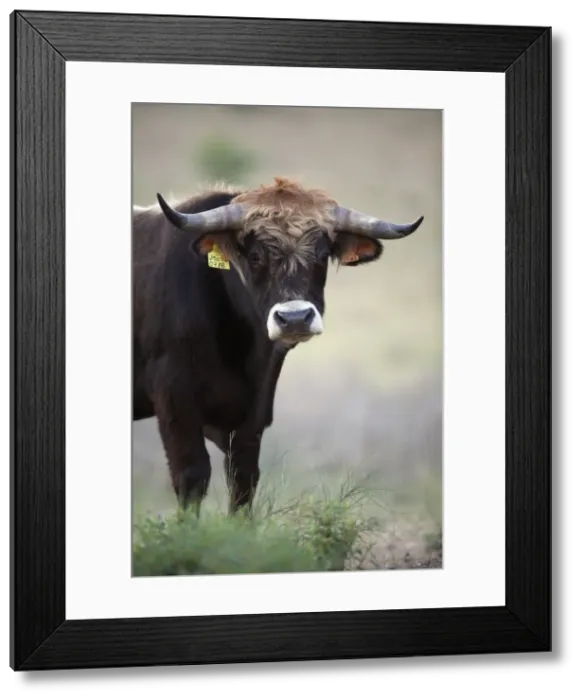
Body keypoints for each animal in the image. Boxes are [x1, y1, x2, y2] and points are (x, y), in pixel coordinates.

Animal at [132, 176, 424, 516]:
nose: (295, 318)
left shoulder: (252, 416)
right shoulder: (175, 403)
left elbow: (243, 480)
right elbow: (192, 476)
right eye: (255, 256)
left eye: (322, 255)